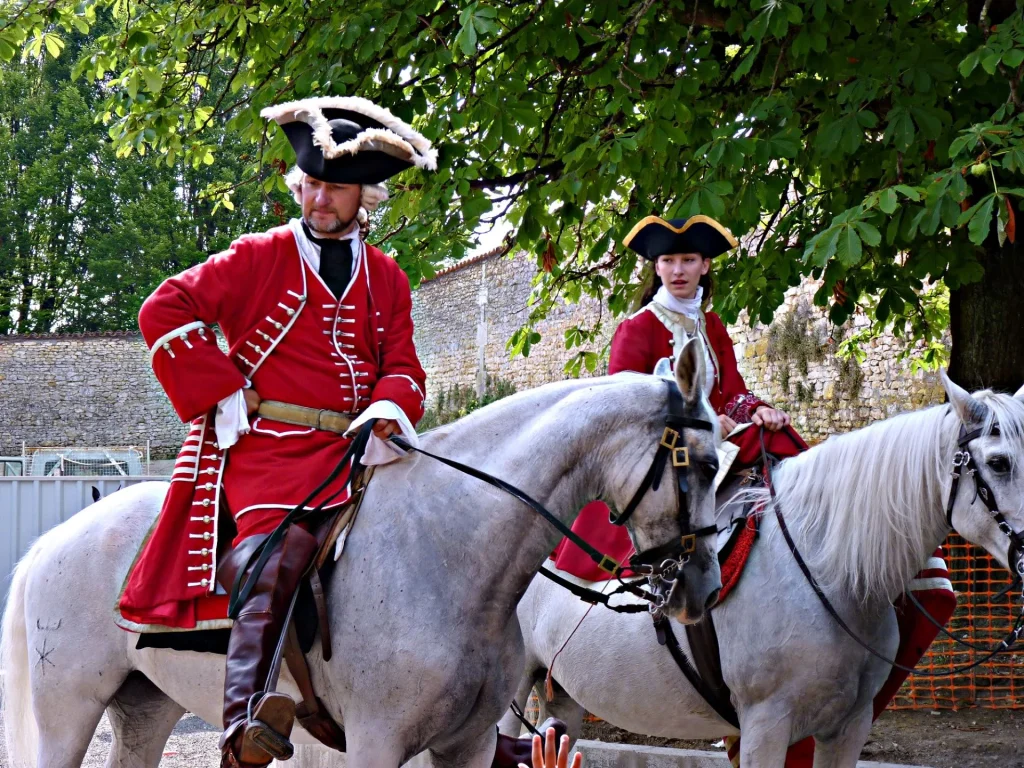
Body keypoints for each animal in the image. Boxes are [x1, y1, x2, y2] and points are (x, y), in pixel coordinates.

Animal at [2, 342, 720, 768]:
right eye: (708, 464)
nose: (702, 589)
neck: (451, 550)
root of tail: (54, 540)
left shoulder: (468, 745)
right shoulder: (376, 743)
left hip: (145, 707)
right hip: (67, 712)